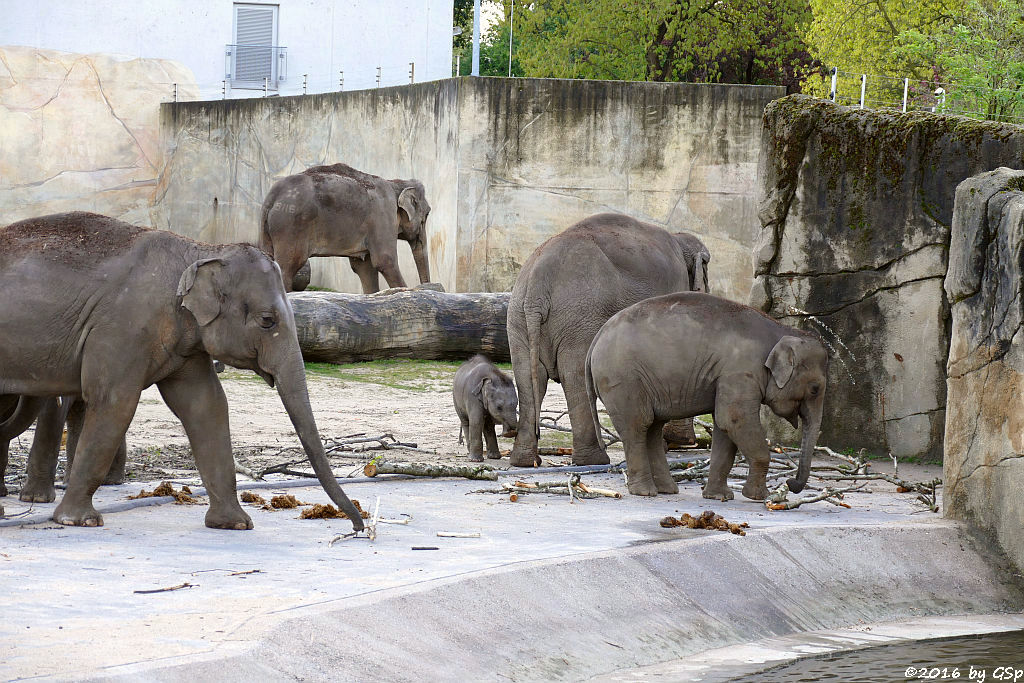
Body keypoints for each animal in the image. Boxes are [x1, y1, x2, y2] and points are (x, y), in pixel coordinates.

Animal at [0, 210, 364, 532]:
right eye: (267, 321)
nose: (358, 526)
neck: (200, 250)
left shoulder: (187, 341)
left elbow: (207, 405)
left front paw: (234, 524)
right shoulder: (123, 327)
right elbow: (114, 402)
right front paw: (78, 521)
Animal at [260, 165, 432, 296]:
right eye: (427, 214)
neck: (395, 183)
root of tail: (272, 197)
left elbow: (364, 267)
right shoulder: (383, 215)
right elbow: (385, 261)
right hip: (292, 225)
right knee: (288, 266)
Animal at [505, 214, 712, 471]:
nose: (687, 443)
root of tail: (537, 283)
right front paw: (672, 443)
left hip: (519, 317)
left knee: (528, 376)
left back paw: (525, 461)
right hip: (579, 317)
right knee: (575, 375)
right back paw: (594, 460)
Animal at [589, 290, 827, 499]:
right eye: (815, 389)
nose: (790, 483)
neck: (781, 330)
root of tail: (597, 337)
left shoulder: (727, 378)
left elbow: (724, 427)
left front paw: (719, 497)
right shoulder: (740, 371)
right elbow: (734, 419)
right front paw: (758, 497)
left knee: (653, 427)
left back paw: (667, 490)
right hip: (623, 380)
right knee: (638, 425)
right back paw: (645, 492)